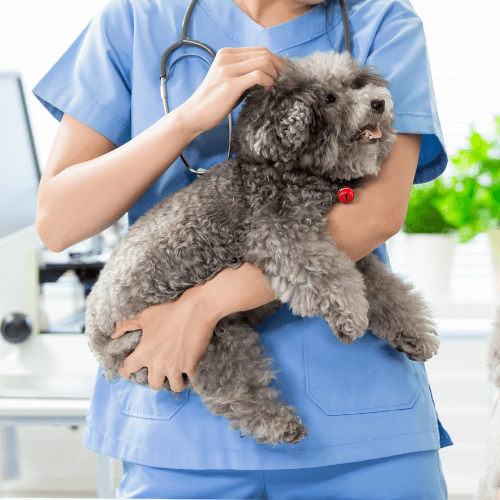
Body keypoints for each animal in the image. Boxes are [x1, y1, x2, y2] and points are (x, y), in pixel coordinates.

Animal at [84, 49, 440, 446]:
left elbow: (387, 291)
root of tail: (98, 344)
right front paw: (350, 318)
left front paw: (413, 333)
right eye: (330, 99)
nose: (378, 103)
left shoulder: (353, 254)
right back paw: (278, 424)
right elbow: (330, 278)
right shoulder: (282, 238)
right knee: (232, 390)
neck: (295, 173)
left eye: (358, 83)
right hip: (197, 340)